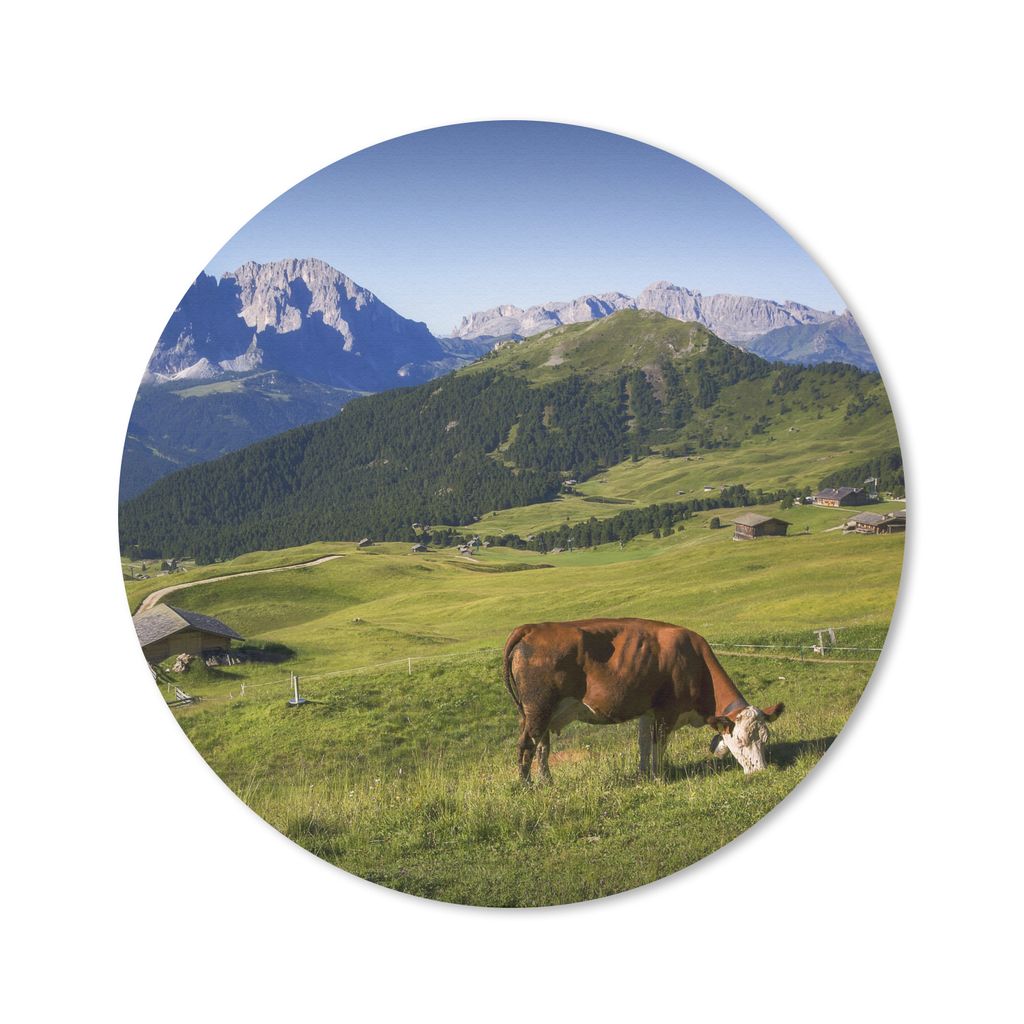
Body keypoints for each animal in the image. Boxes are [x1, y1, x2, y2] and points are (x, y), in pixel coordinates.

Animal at [502, 617, 783, 781]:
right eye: (742, 740)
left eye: (765, 738)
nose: (761, 771)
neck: (694, 660)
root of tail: (532, 628)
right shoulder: (667, 711)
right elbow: (659, 745)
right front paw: (659, 777)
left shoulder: (648, 711)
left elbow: (644, 743)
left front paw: (643, 774)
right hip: (539, 708)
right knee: (526, 746)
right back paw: (528, 786)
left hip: (538, 713)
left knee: (542, 747)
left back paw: (547, 781)